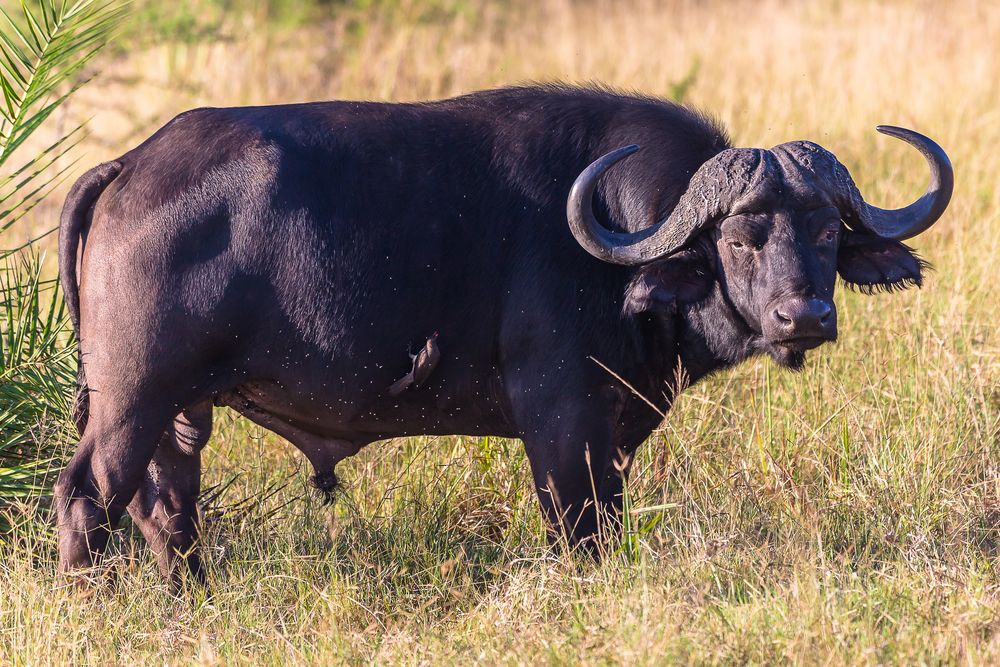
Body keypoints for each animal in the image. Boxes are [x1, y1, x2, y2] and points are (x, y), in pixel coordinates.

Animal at [54, 85, 952, 584]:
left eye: (826, 232)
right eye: (739, 239)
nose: (806, 317)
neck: (616, 239)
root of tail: (131, 165)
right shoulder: (562, 418)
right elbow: (581, 527)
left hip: (180, 413)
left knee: (166, 508)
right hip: (131, 400)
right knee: (88, 498)